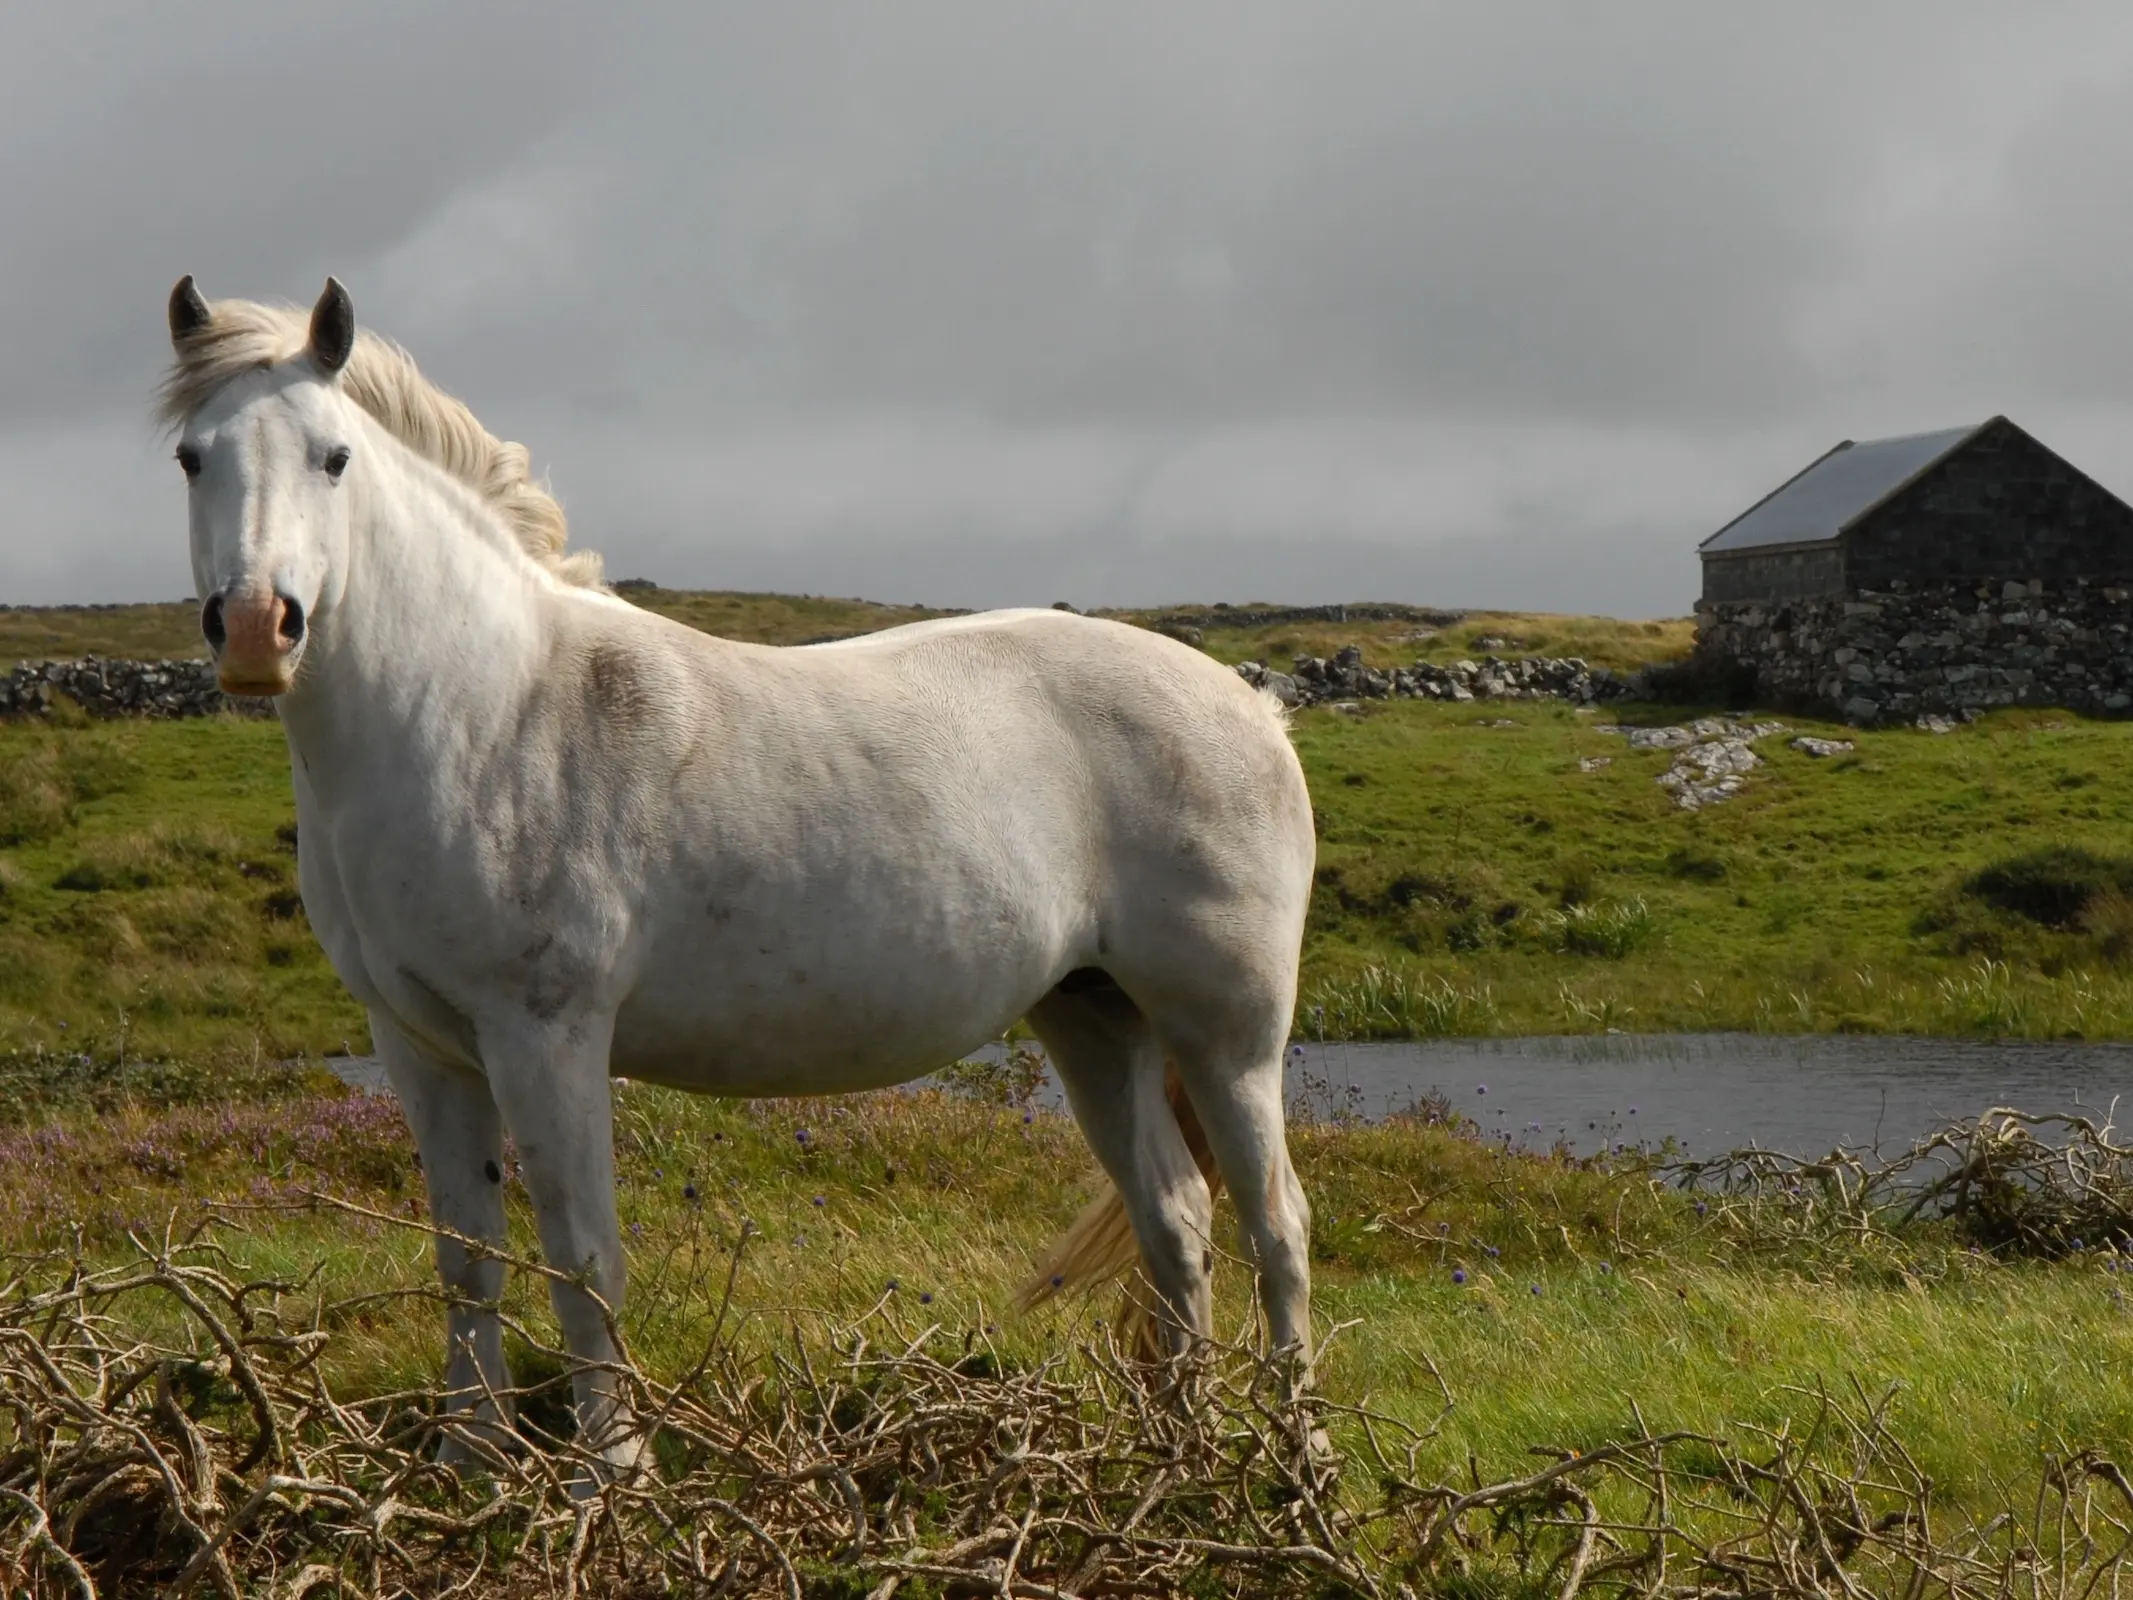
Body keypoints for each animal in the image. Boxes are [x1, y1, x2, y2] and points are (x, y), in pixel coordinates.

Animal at [157, 275, 1313, 1467]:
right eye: (192, 457)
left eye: (333, 455)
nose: (257, 629)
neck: (486, 709)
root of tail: (1252, 707)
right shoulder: (420, 1047)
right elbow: (467, 1262)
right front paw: (467, 1465)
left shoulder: (547, 1039)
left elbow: (582, 1263)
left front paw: (608, 1477)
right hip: (1093, 1017)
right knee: (1175, 1221)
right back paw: (1183, 1457)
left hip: (1226, 1038)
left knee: (1274, 1224)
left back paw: (1295, 1460)